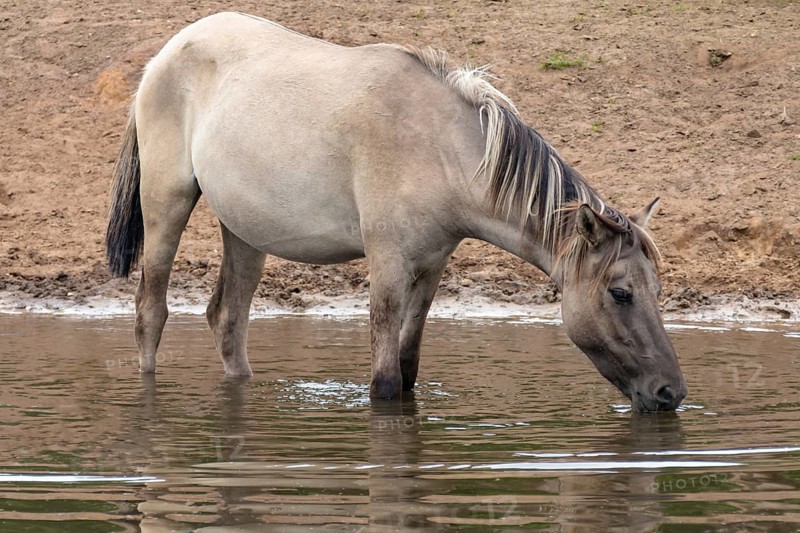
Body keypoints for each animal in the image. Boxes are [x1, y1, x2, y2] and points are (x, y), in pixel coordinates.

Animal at [106, 12, 687, 412]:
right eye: (620, 293)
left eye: (658, 290)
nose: (671, 392)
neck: (439, 148)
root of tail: (163, 56)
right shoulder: (387, 263)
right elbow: (385, 382)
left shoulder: (430, 268)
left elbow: (407, 371)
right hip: (166, 205)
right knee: (150, 312)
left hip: (245, 231)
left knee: (228, 320)